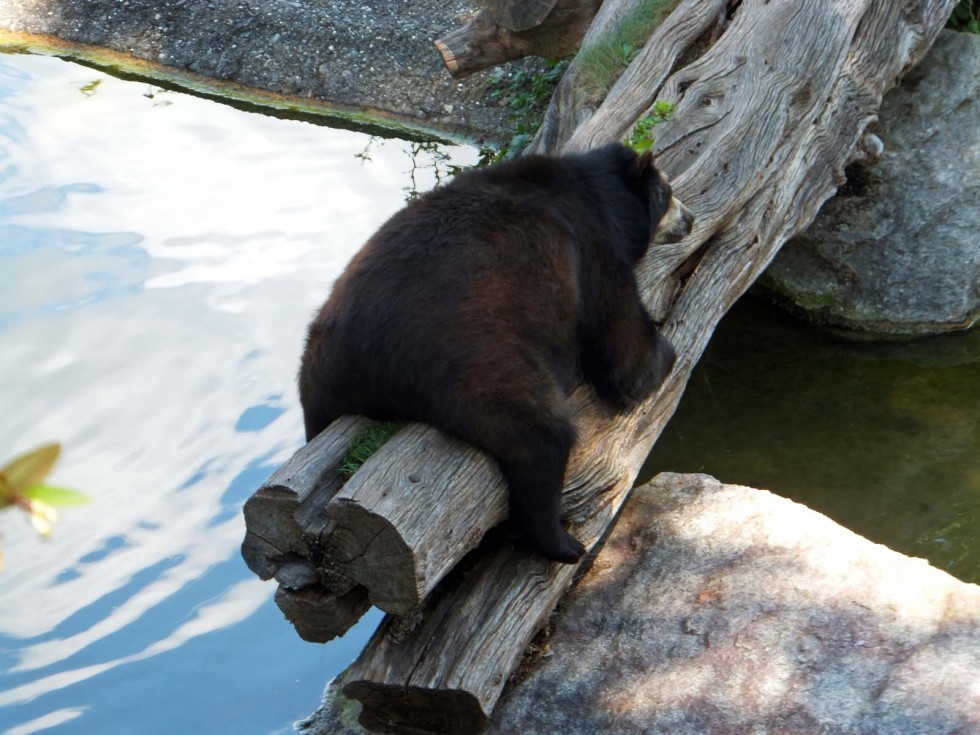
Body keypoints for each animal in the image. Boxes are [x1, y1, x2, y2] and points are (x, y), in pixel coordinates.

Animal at [302, 142, 692, 564]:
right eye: (668, 192)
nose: (689, 219)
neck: (598, 194)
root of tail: (366, 360)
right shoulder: (594, 251)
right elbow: (625, 354)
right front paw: (664, 350)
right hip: (478, 354)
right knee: (541, 437)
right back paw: (562, 542)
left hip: (319, 374)